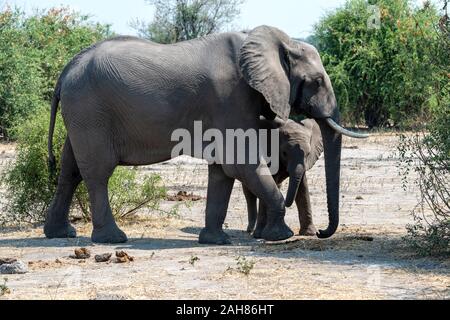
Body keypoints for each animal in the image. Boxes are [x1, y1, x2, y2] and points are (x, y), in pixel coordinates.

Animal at [44, 25, 366, 245]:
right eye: (317, 81)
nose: (322, 232)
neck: (271, 41)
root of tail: (65, 70)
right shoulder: (231, 97)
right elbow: (242, 165)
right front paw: (281, 236)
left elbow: (222, 170)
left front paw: (215, 240)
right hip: (90, 111)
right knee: (97, 173)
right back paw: (113, 239)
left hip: (82, 114)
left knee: (70, 170)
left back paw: (60, 233)